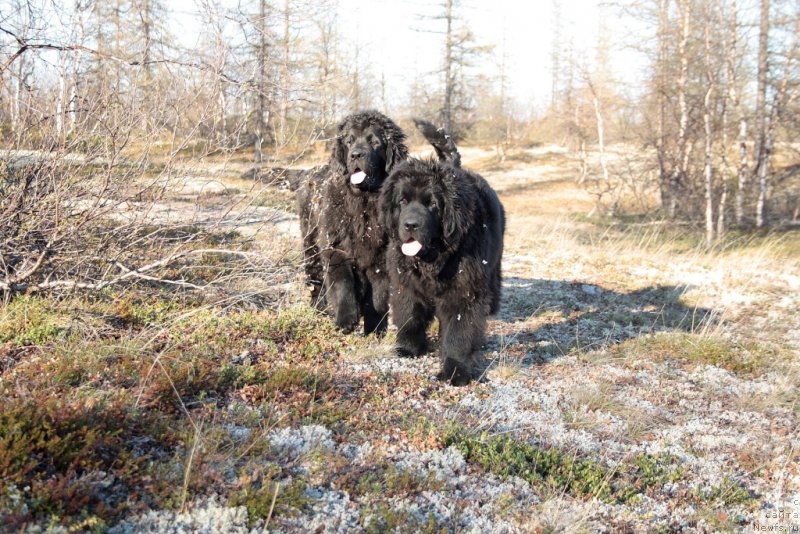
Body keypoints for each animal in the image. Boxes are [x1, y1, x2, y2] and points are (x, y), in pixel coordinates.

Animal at [296, 110, 410, 336]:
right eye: (349, 141)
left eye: (375, 142)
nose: (356, 155)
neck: (364, 203)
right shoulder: (337, 247)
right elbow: (342, 284)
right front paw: (346, 320)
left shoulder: (380, 257)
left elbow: (378, 296)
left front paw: (374, 329)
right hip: (311, 245)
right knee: (316, 282)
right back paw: (320, 310)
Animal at [382, 157, 506, 388]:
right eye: (402, 201)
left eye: (433, 204)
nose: (410, 225)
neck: (433, 259)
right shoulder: (406, 284)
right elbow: (409, 315)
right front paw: (408, 348)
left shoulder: (463, 292)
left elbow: (458, 333)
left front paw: (455, 371)